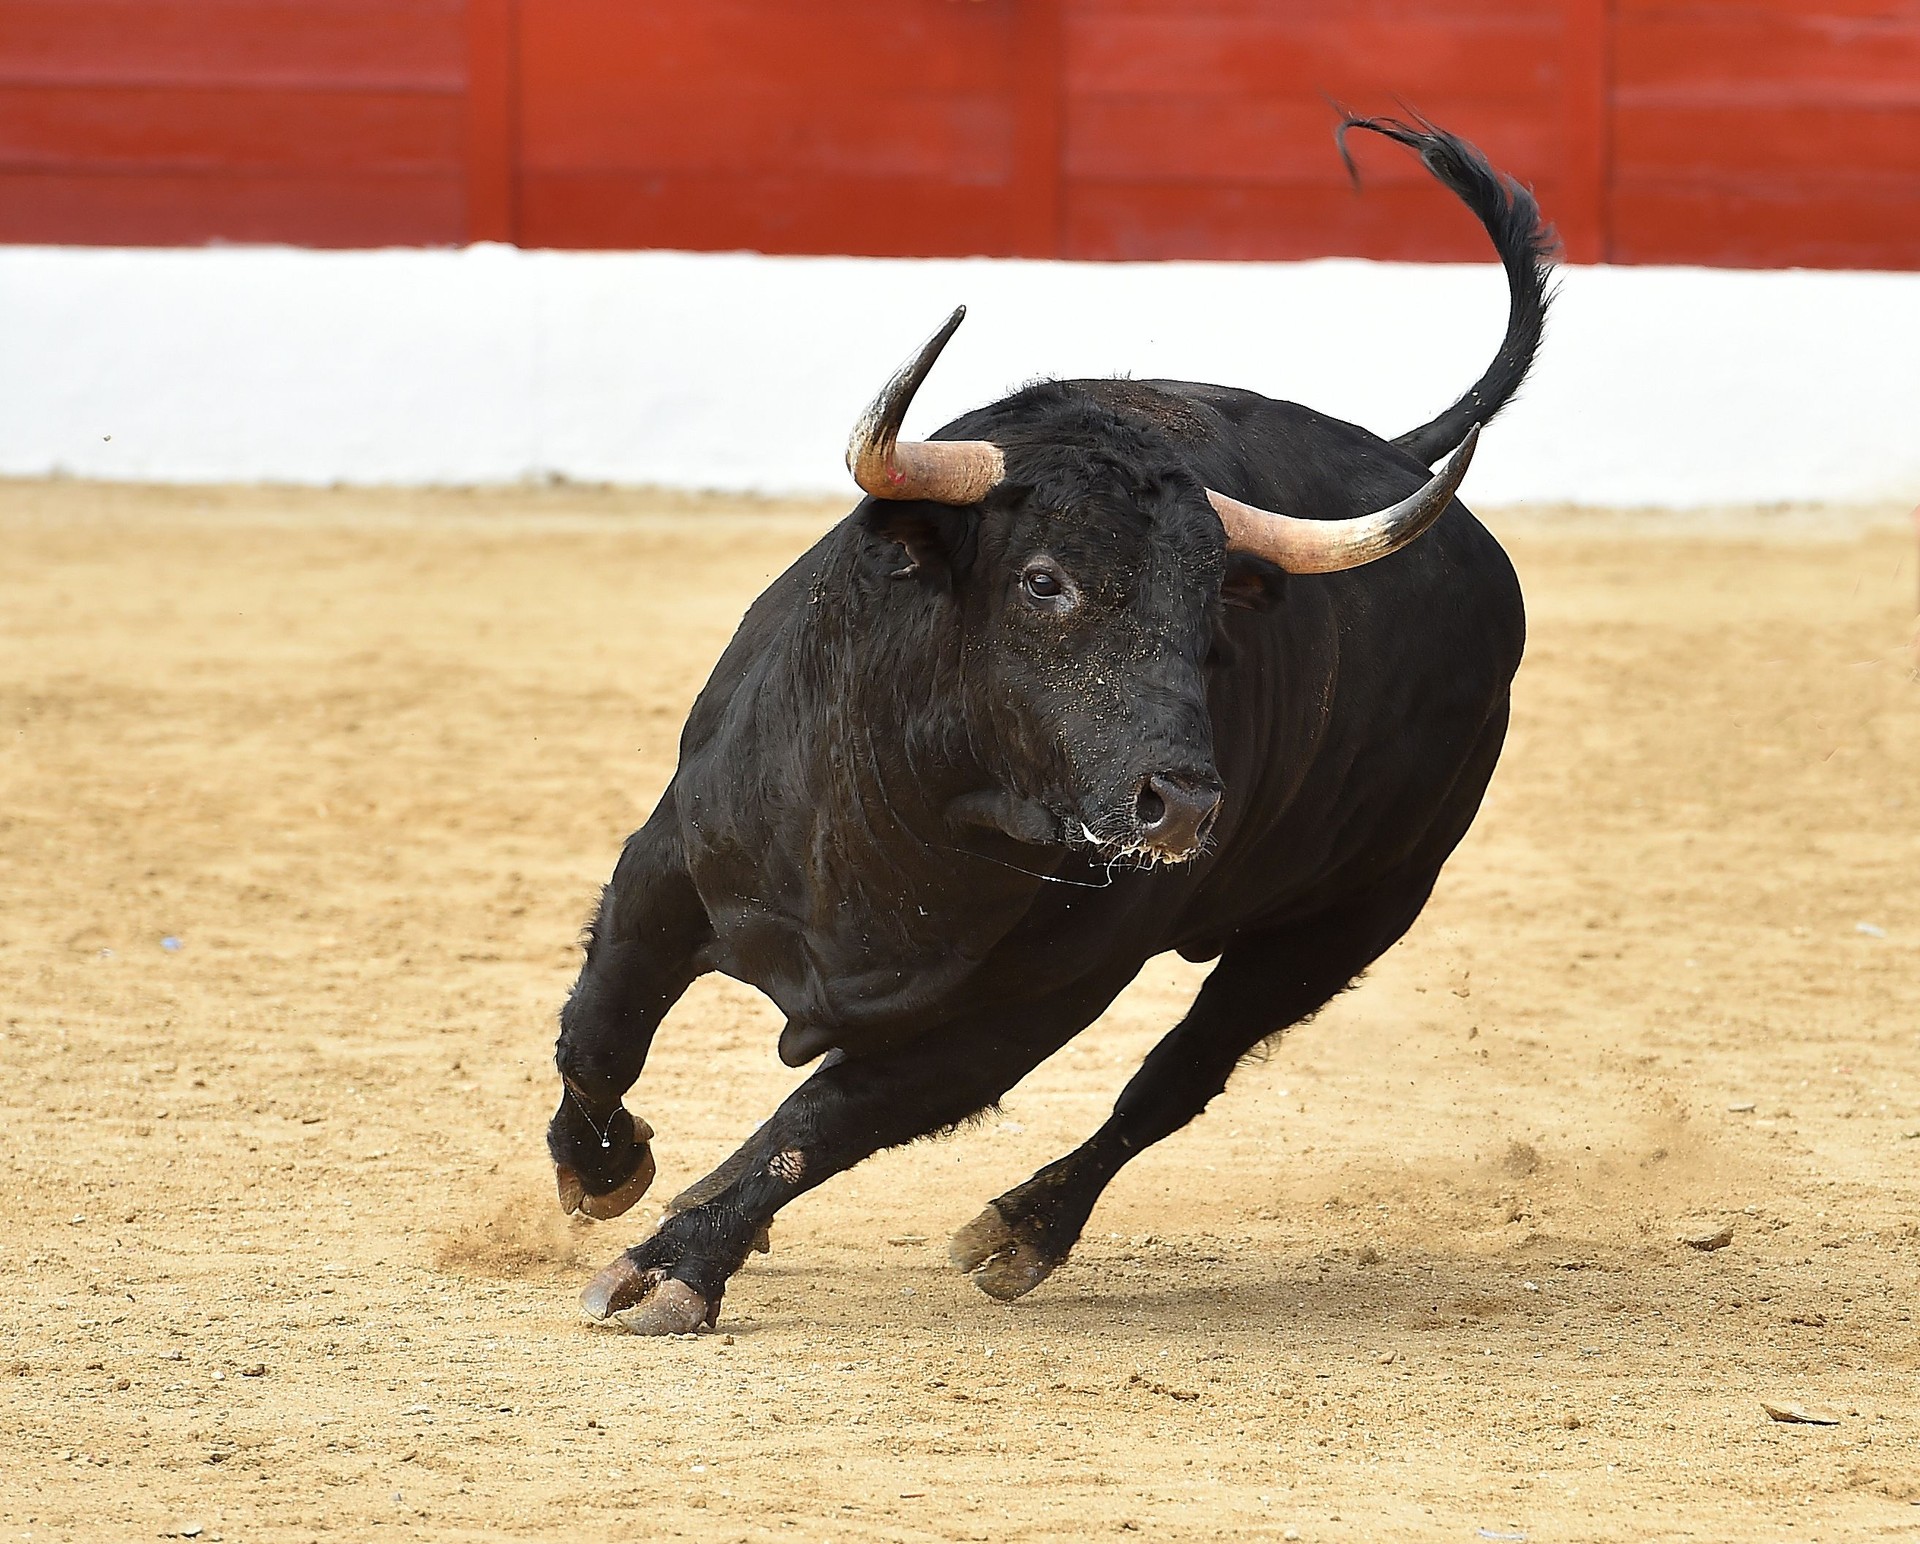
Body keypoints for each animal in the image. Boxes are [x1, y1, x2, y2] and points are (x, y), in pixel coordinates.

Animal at [537, 120, 1543, 1336]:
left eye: (1211, 616)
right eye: (1043, 579)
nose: (1183, 804)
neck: (914, 818)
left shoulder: (1025, 1009)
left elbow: (817, 1126)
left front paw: (675, 1261)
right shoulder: (667, 859)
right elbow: (599, 1029)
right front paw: (605, 1169)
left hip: (1357, 913)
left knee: (1180, 1073)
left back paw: (1026, 1228)